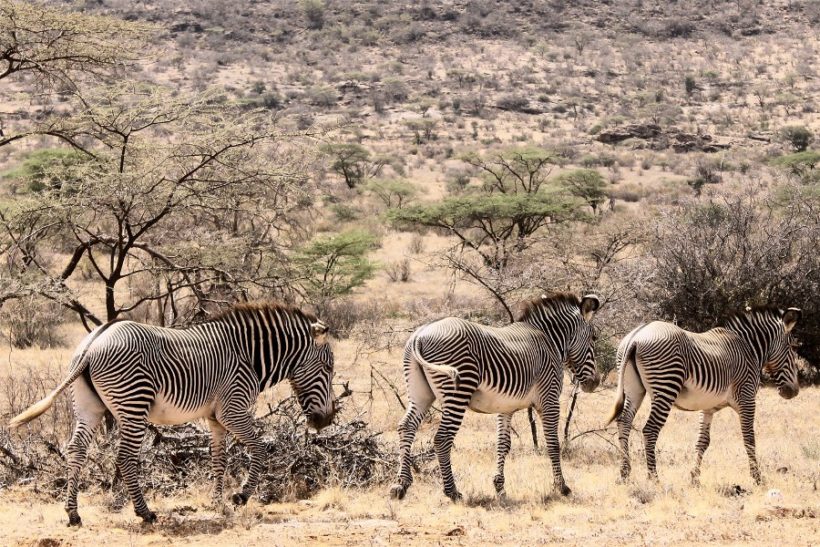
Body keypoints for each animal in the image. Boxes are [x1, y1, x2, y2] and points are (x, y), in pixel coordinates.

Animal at [9, 302, 336, 528]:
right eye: (329, 369)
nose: (327, 421)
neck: (250, 358)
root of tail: (93, 344)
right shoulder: (232, 409)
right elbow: (260, 448)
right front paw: (241, 496)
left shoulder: (215, 417)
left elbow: (219, 459)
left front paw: (218, 503)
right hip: (134, 404)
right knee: (125, 457)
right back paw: (144, 512)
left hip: (89, 405)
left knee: (76, 450)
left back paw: (73, 514)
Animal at [388, 294, 600, 504]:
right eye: (594, 338)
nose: (595, 383)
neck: (549, 341)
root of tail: (420, 334)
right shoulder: (549, 399)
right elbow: (553, 444)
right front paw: (562, 487)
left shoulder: (505, 407)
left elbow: (503, 445)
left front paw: (499, 487)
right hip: (458, 391)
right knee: (442, 438)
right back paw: (452, 492)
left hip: (420, 393)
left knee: (406, 427)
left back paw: (401, 485)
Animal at [604, 306, 804, 486]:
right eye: (792, 349)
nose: (794, 392)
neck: (749, 349)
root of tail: (636, 337)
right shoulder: (747, 398)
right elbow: (749, 438)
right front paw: (757, 477)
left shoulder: (708, 407)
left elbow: (702, 442)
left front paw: (694, 477)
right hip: (666, 386)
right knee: (650, 430)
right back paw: (653, 478)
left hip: (634, 389)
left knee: (624, 422)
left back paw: (624, 473)